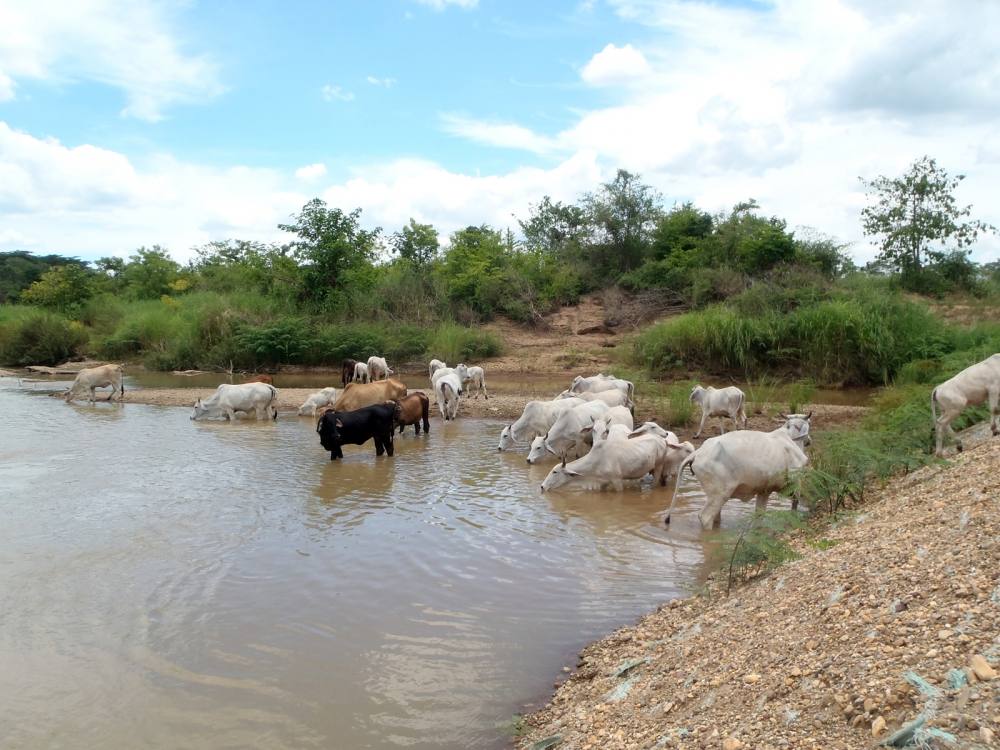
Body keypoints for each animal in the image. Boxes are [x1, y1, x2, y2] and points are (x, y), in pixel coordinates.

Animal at [664, 414, 812, 532]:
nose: (809, 441)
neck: (790, 439)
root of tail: (698, 453)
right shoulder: (795, 481)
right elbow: (794, 504)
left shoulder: (764, 491)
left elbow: (759, 515)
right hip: (720, 494)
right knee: (705, 517)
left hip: (715, 496)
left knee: (715, 516)